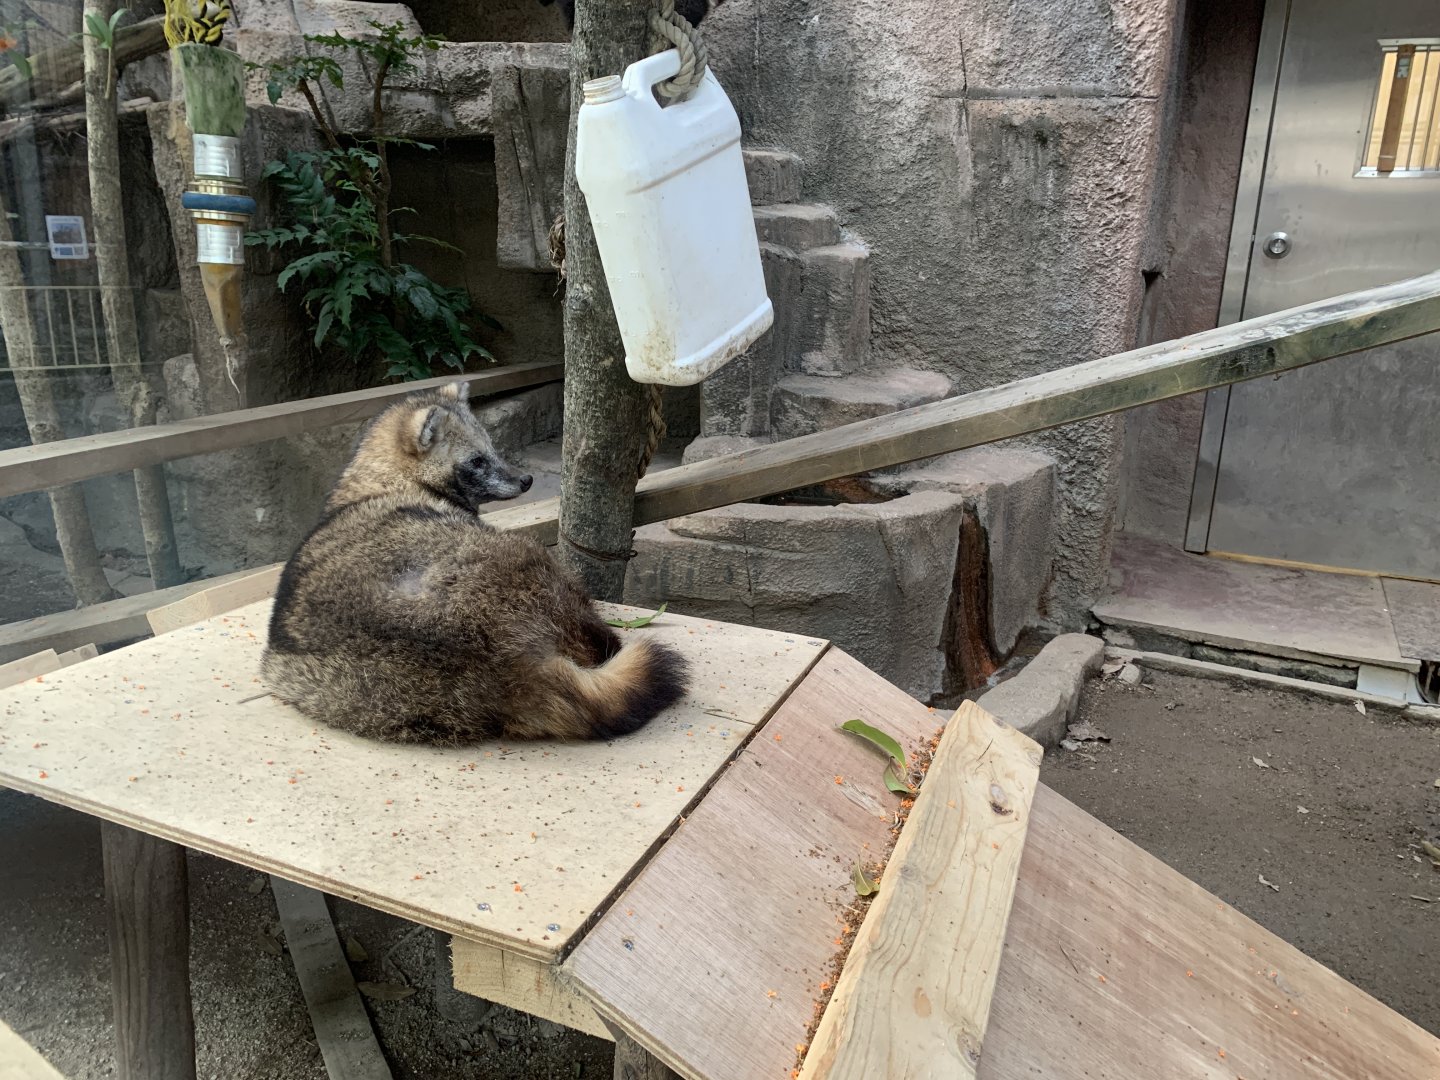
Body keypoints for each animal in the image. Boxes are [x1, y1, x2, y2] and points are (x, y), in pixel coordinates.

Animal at [261, 380, 689, 745]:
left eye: (493, 450)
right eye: (477, 461)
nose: (526, 480)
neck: (383, 482)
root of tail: (507, 658)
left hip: (314, 683)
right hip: (527, 559)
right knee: (602, 640)